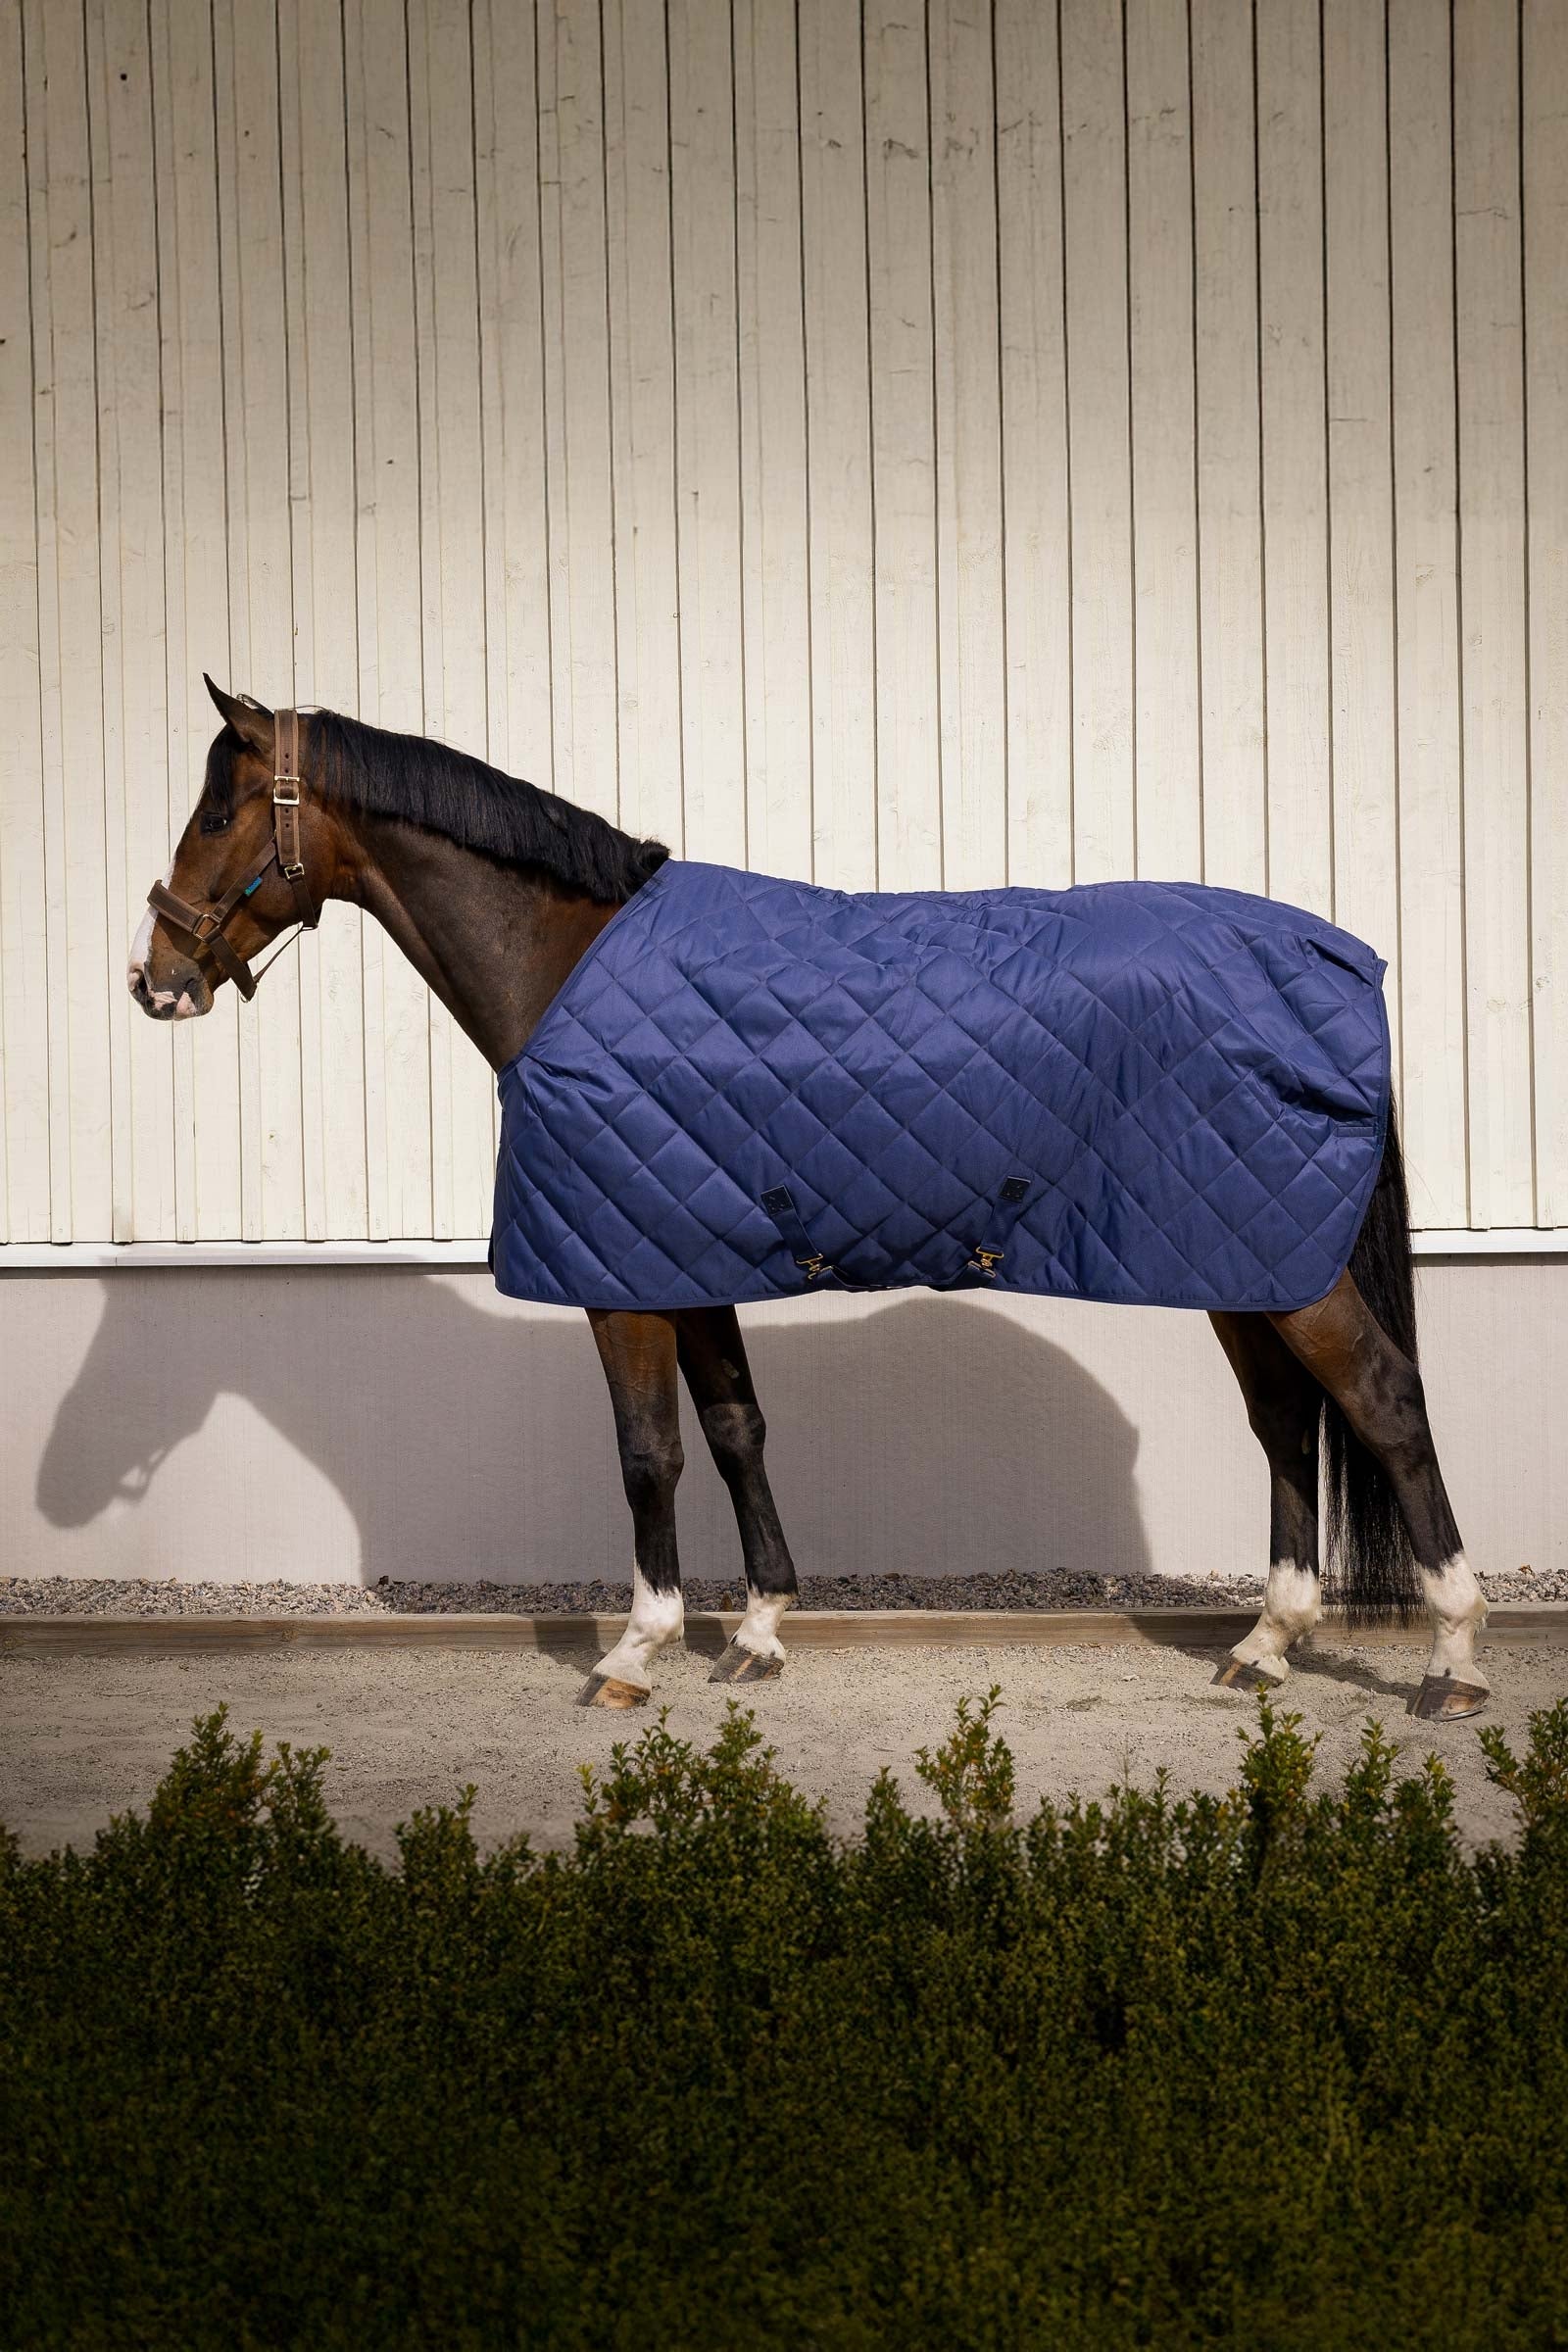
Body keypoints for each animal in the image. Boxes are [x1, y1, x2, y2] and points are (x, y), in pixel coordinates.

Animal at [128, 678, 1489, 1721]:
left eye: (216, 810)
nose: (154, 979)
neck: (567, 960)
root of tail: (1335, 953)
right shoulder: (685, 1257)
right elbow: (736, 1430)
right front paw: (760, 1631)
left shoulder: (624, 1278)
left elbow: (647, 1455)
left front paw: (637, 1652)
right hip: (1238, 1259)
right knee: (1286, 1425)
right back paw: (1267, 1645)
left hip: (1288, 1268)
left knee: (1382, 1403)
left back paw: (1453, 1661)